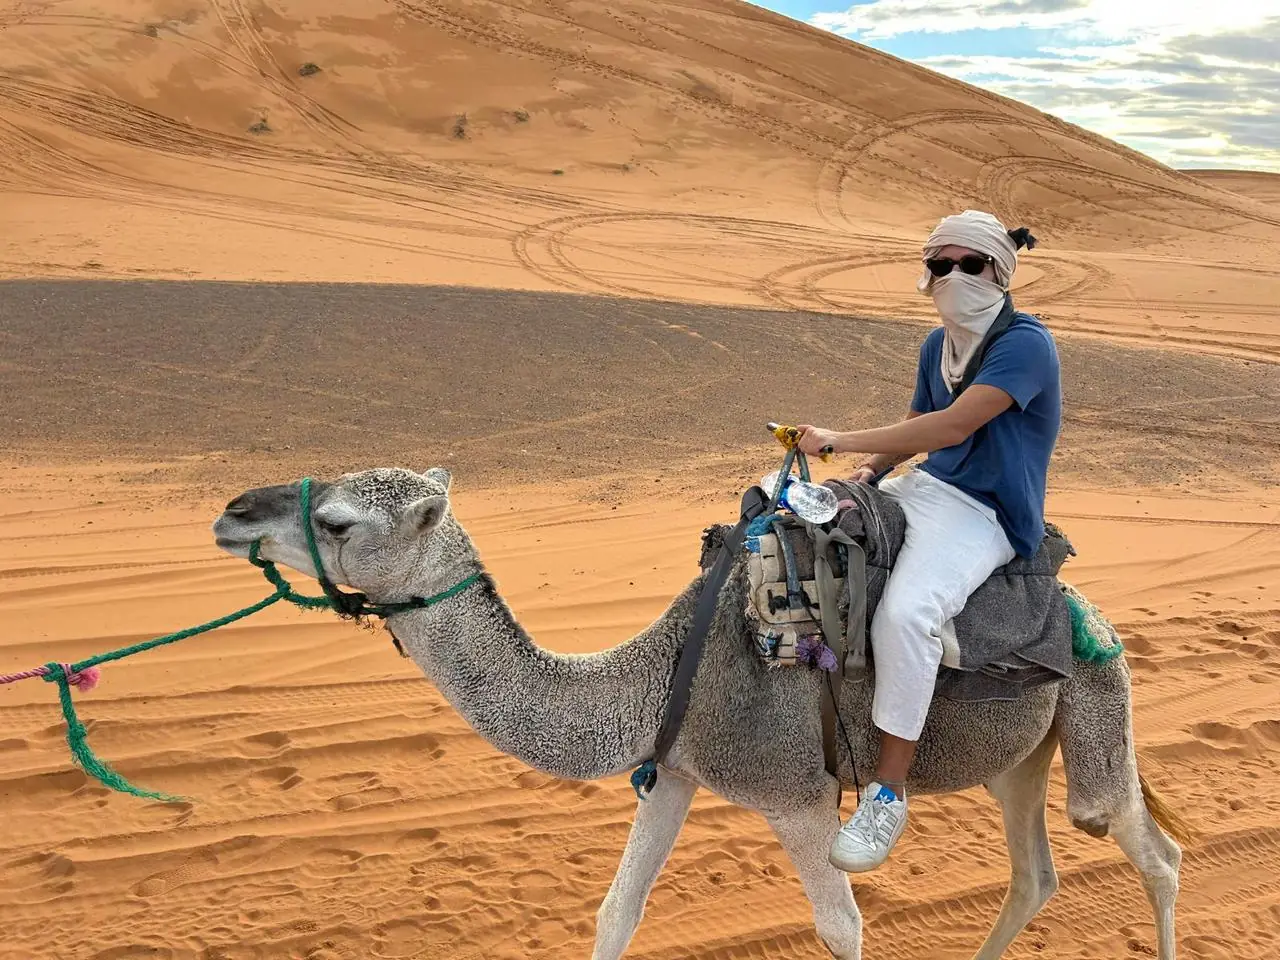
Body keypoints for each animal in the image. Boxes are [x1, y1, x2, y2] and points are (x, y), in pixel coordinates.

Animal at [211, 466, 1188, 960]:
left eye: (337, 521)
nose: (231, 510)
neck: (660, 669)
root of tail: (1091, 609)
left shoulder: (797, 797)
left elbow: (842, 927)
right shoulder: (673, 769)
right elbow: (615, 912)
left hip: (1097, 700)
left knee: (1148, 848)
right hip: (1016, 757)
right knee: (1034, 871)